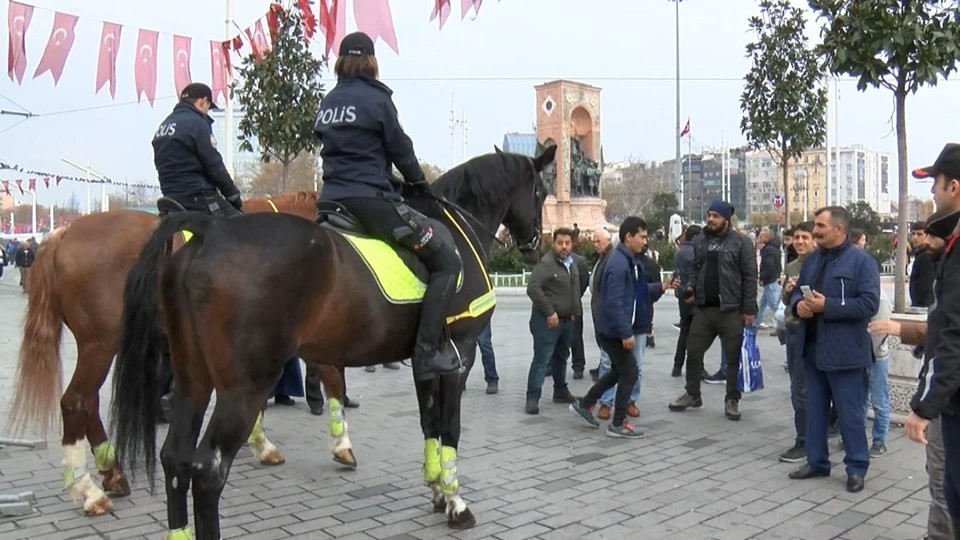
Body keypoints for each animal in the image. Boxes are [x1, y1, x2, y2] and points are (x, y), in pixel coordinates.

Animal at [4, 192, 322, 516]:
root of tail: (65, 232)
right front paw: (263, 444)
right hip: (100, 343)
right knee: (75, 402)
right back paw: (88, 491)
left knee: (88, 403)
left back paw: (112, 473)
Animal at [109, 148, 552, 540]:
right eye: (542, 192)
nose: (535, 246)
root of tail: (208, 232)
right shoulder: (461, 355)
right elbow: (449, 428)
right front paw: (456, 503)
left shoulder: (425, 361)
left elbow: (428, 423)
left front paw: (437, 492)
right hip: (243, 387)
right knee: (208, 471)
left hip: (193, 379)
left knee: (175, 458)